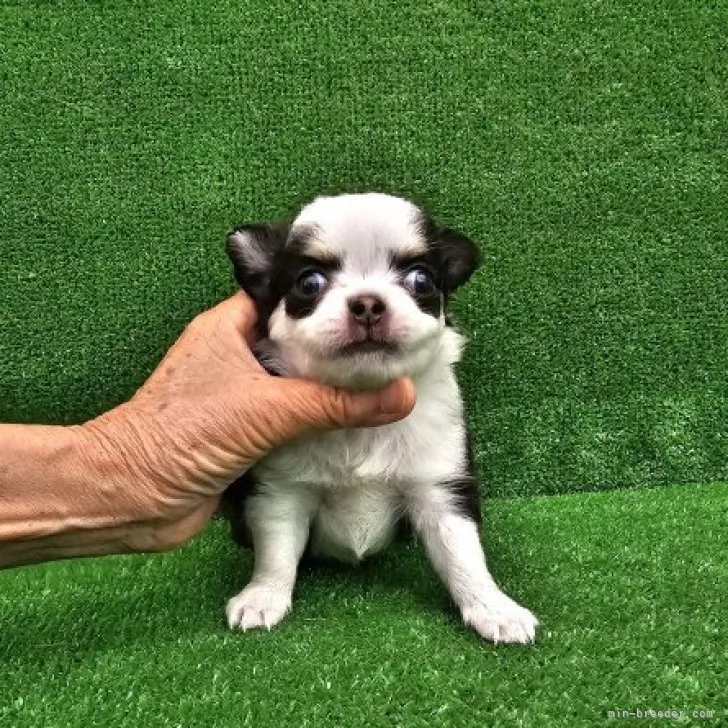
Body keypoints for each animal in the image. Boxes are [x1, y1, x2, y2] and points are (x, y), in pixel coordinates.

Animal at [219, 192, 536, 644]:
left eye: (421, 281)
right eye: (310, 283)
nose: (368, 302)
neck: (360, 420)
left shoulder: (440, 487)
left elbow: (463, 555)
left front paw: (493, 607)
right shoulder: (282, 492)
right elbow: (275, 552)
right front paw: (262, 596)